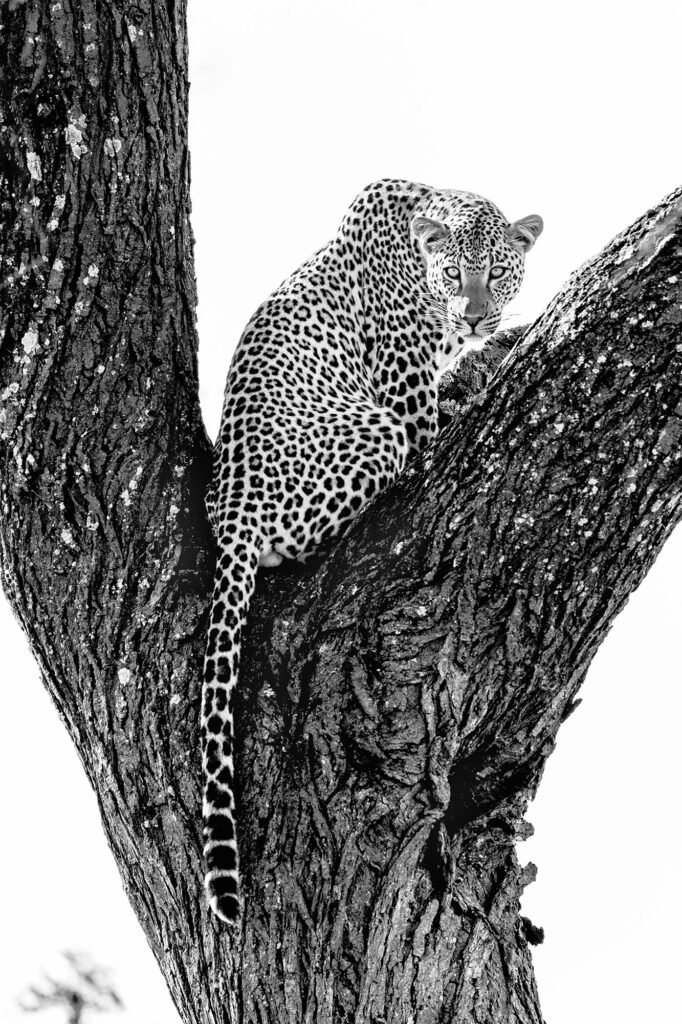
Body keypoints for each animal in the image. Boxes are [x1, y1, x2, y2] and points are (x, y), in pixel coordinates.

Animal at [201, 179, 543, 923]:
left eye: (497, 274)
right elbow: (440, 417)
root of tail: (229, 513)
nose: (477, 318)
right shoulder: (411, 412)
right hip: (375, 431)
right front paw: (489, 359)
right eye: (455, 275)